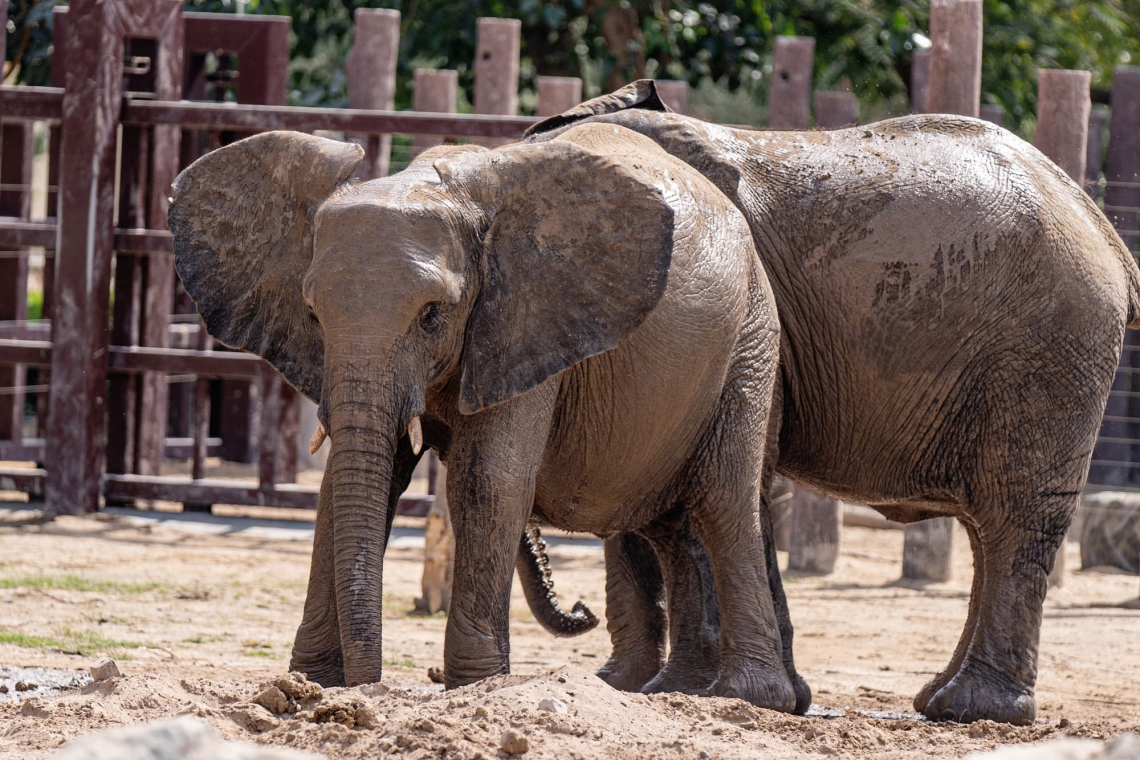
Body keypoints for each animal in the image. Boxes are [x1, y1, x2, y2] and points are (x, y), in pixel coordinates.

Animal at [167, 123, 797, 709]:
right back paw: (675, 693)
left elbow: (486, 482)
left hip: (751, 339)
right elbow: (353, 482)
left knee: (723, 502)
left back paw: (747, 698)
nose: (368, 688)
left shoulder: (523, 318)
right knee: (669, 522)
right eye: (313, 315)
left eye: (432, 314)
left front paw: (476, 688)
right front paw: (309, 684)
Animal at [520, 81, 1140, 725]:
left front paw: (674, 690)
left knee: (1017, 514)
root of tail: (1106, 233)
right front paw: (644, 687)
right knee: (986, 526)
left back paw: (975, 708)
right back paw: (939, 700)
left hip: (1050, 351)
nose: (581, 608)